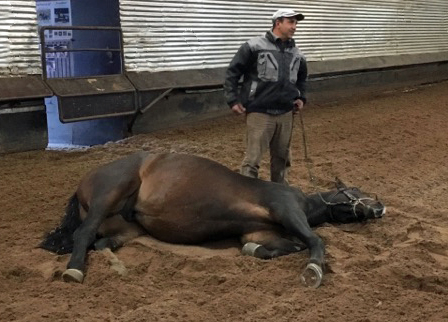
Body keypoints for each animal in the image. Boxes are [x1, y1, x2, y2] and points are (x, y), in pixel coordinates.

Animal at [40, 152, 386, 288]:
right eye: (355, 190)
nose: (380, 207)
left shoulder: (259, 233)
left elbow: (273, 247)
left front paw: (254, 252)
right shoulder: (287, 210)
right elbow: (314, 241)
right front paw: (313, 270)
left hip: (126, 227)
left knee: (101, 242)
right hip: (109, 193)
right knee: (84, 235)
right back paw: (74, 270)